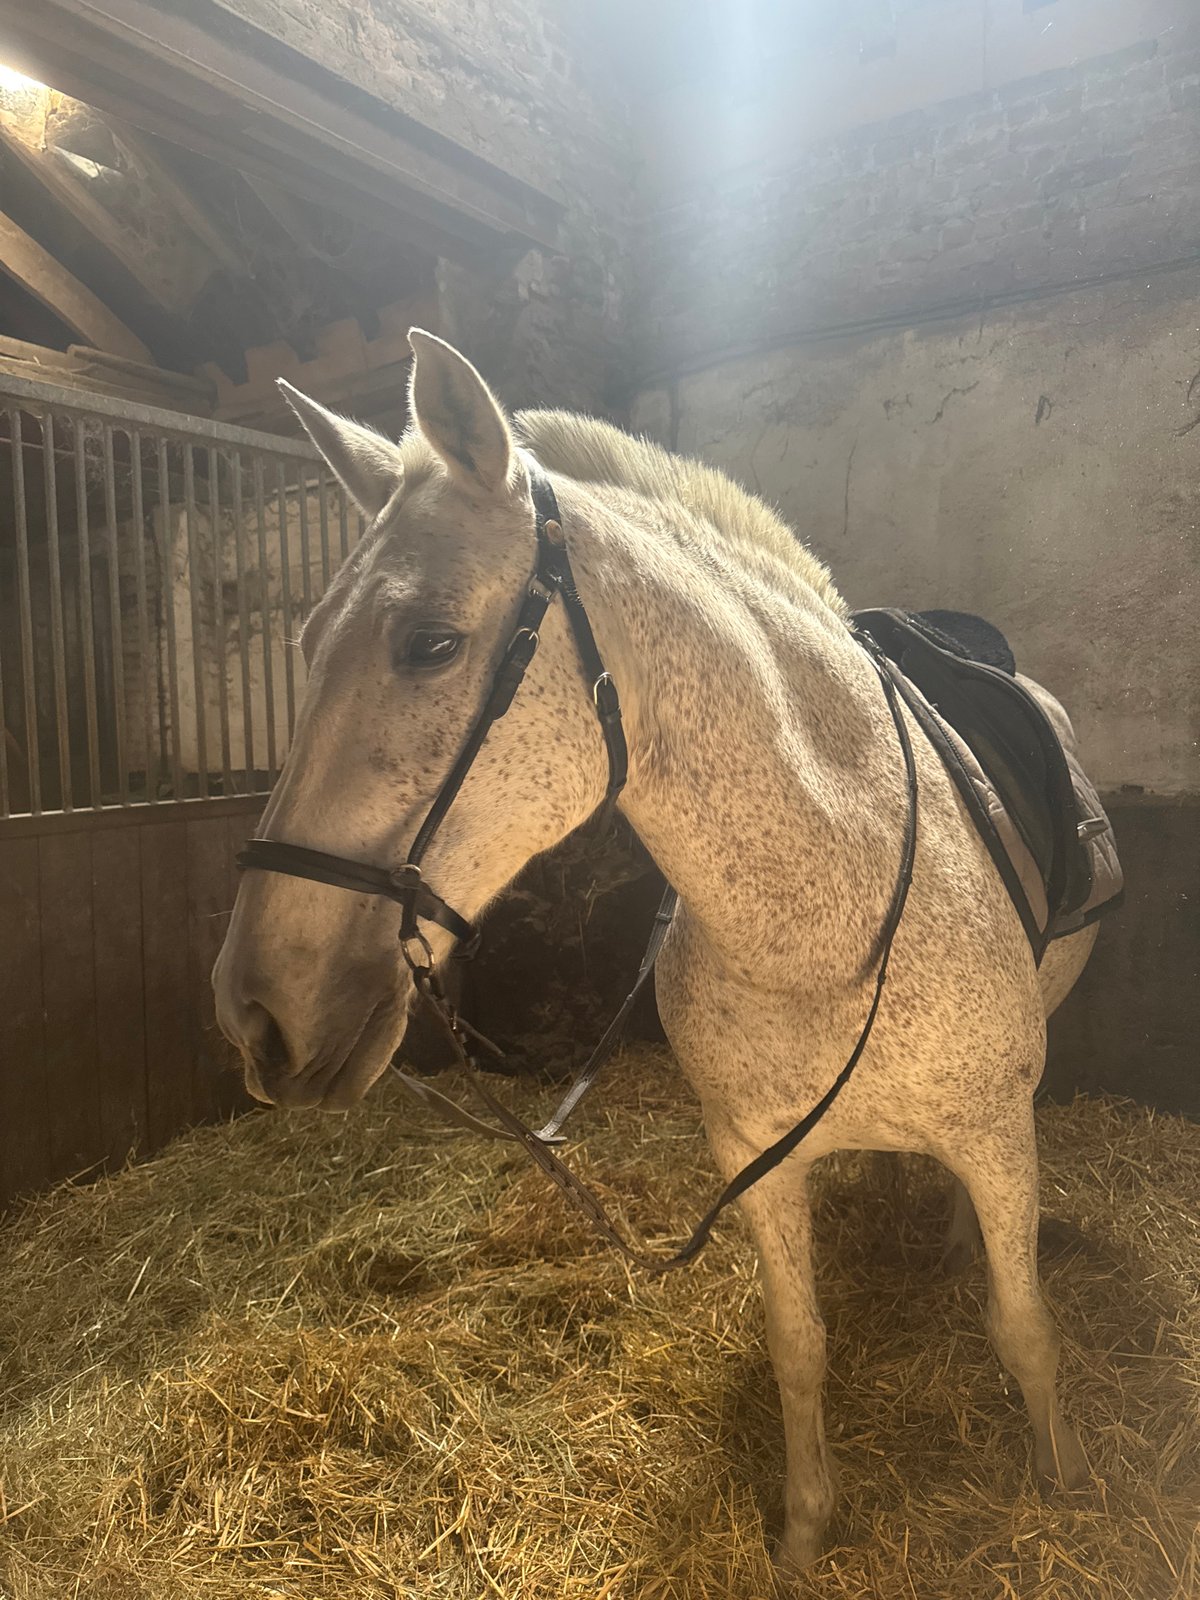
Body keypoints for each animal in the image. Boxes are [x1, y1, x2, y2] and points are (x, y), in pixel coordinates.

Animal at [213, 329, 1097, 1575]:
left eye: (430, 643)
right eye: (305, 644)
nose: (258, 1012)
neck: (823, 920)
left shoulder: (996, 1136)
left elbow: (1022, 1327)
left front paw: (1061, 1484)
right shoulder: (756, 1159)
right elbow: (799, 1346)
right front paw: (804, 1531)